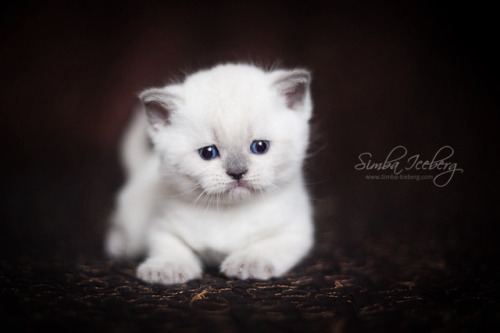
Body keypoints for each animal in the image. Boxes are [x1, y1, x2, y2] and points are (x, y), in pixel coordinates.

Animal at [105, 62, 314, 282]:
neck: (228, 212)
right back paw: (119, 247)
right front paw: (168, 268)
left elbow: (269, 246)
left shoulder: (296, 231)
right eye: (208, 153)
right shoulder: (162, 226)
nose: (237, 172)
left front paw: (248, 262)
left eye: (260, 147)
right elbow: (169, 246)